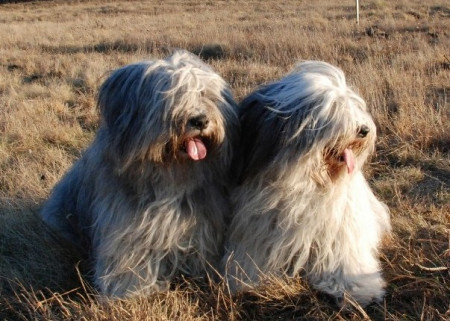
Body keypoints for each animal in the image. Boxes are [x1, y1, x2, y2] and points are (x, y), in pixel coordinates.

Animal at [40, 50, 241, 298]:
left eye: (205, 94)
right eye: (172, 97)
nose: (201, 120)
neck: (170, 180)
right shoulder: (127, 229)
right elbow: (129, 259)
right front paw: (129, 291)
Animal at [223, 60, 392, 304]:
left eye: (353, 106)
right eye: (332, 109)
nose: (364, 130)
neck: (307, 182)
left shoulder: (340, 231)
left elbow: (344, 260)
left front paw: (357, 287)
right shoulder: (257, 230)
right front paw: (249, 281)